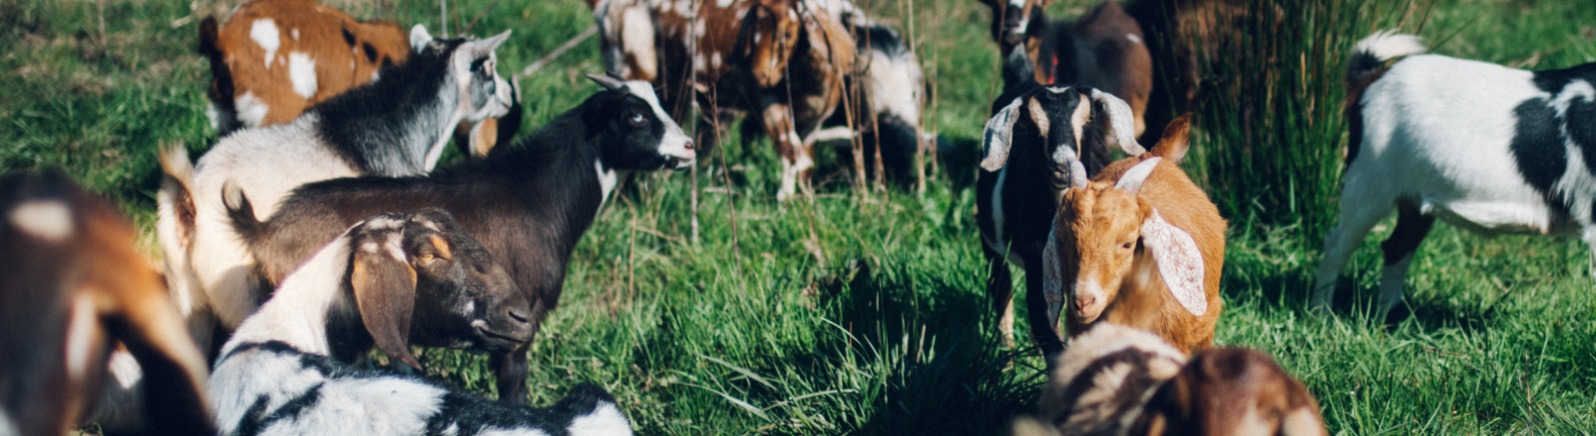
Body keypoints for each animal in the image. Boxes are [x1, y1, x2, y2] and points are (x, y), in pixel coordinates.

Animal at [159, 25, 514, 351]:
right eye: (488, 66)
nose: (509, 99)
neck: (393, 130)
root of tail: (188, 198)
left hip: (187, 295)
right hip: (237, 287)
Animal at [217, 74, 693, 405]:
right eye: (635, 115)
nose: (689, 147)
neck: (538, 195)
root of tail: (263, 228)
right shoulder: (520, 320)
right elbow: (514, 386)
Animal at [976, 84, 1145, 359]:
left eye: (1090, 118)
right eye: (1031, 124)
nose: (1062, 165)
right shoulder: (1038, 261)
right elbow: (1045, 324)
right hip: (990, 245)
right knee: (1002, 292)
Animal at [1313, 31, 1596, 316]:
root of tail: (1369, 77)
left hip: (1411, 200)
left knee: (1396, 247)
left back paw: (1389, 319)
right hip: (1367, 181)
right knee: (1336, 246)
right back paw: (1321, 314)